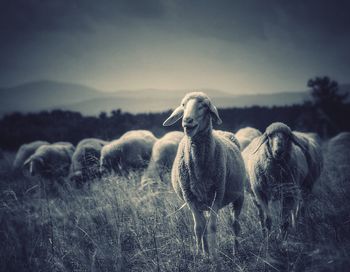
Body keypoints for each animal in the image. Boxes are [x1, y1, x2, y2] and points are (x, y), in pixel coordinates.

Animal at [162, 92, 246, 258]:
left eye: (204, 106)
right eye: (183, 105)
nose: (187, 121)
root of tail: (220, 131)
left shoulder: (217, 195)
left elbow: (212, 227)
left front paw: (214, 256)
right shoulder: (190, 198)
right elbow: (199, 227)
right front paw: (201, 254)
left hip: (239, 195)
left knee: (235, 224)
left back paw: (236, 250)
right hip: (203, 201)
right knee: (205, 224)